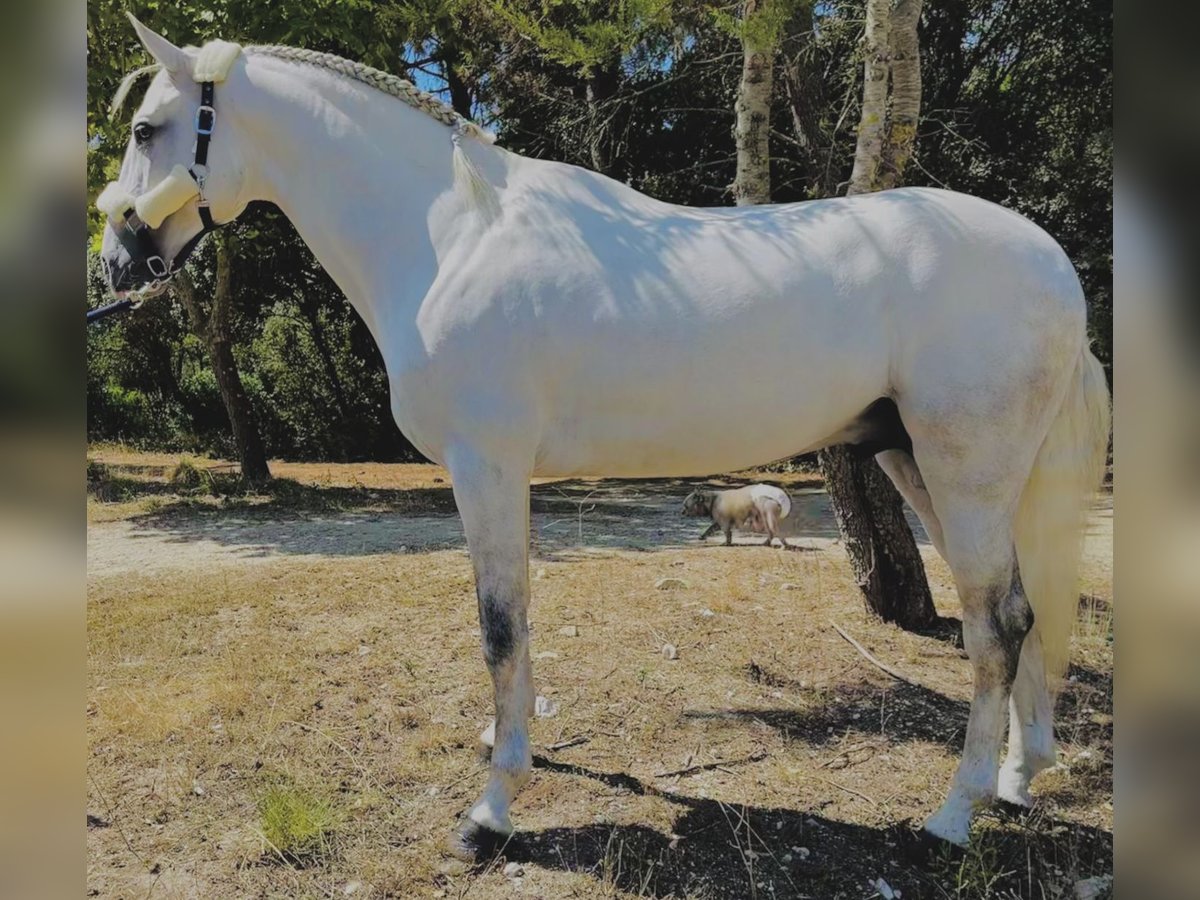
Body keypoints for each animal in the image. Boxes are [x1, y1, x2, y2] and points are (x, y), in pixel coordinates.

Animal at [98, 19, 1108, 859]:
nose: (116, 262)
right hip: (922, 467)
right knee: (1020, 614)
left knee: (993, 629)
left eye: (148, 129)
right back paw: (1016, 782)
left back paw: (952, 816)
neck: (452, 235)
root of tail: (1049, 262)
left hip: (964, 472)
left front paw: (490, 808)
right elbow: (514, 624)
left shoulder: (487, 468)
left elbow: (500, 626)